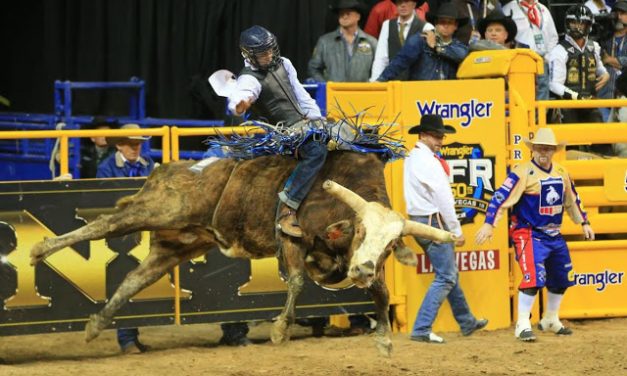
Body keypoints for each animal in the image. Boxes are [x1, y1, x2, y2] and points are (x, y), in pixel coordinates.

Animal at [29, 150, 454, 356]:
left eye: (390, 246)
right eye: (361, 230)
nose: (364, 270)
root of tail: (171, 168)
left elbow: (382, 294)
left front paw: (384, 340)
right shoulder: (293, 239)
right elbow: (296, 280)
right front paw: (281, 329)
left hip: (180, 241)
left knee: (136, 277)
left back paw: (96, 323)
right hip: (161, 209)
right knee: (107, 224)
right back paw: (39, 249)